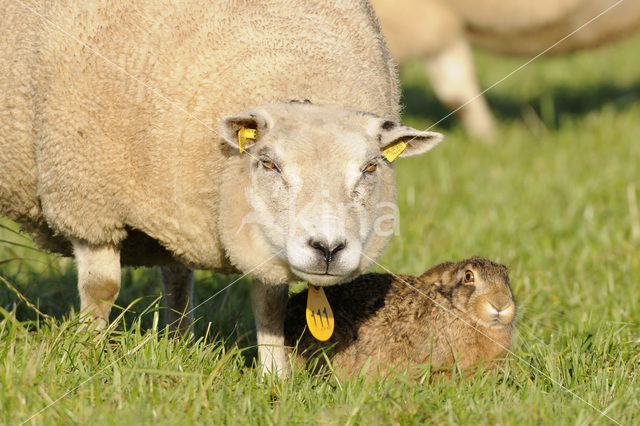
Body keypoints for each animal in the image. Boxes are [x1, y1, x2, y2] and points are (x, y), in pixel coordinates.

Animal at [0, 1, 442, 378]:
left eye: (371, 167)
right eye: (269, 163)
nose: (328, 249)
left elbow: (269, 303)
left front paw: (274, 378)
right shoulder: (87, 198)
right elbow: (101, 288)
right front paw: (87, 355)